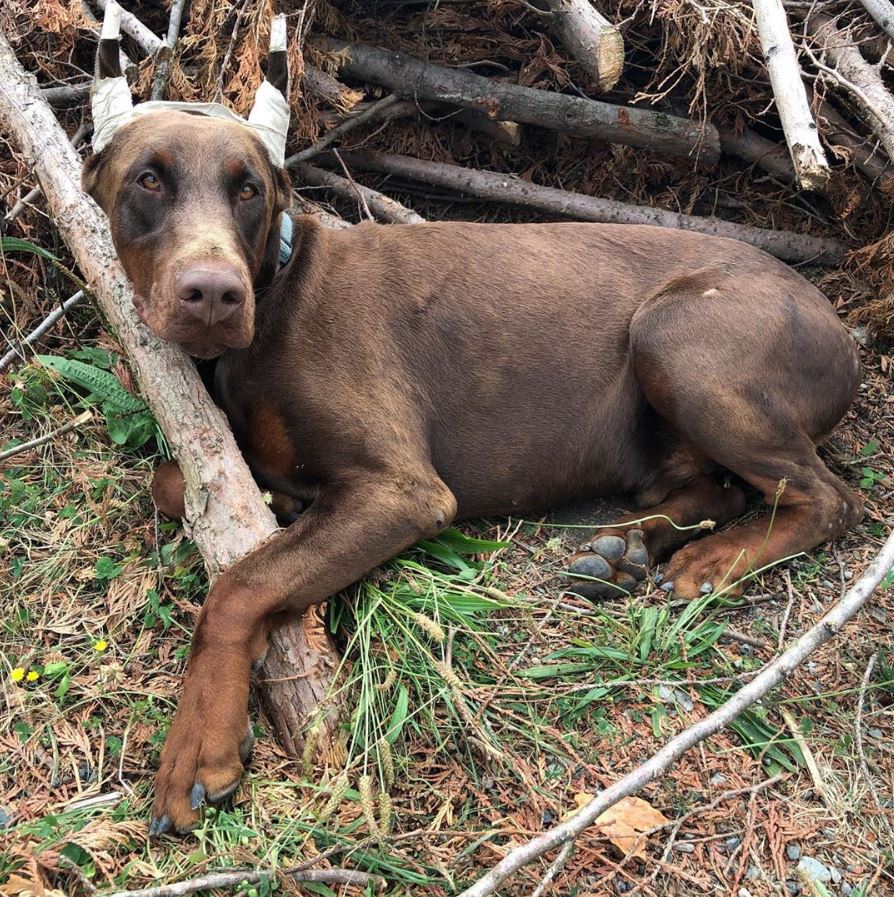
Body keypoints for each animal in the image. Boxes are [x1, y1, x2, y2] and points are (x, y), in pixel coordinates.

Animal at [82, 45, 860, 840]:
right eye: (148, 180)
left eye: (248, 191)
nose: (214, 294)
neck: (273, 294)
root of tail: (839, 322)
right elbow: (174, 481)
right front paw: (281, 501)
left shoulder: (403, 489)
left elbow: (238, 584)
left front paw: (199, 745)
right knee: (720, 488)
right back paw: (628, 548)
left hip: (676, 337)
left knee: (829, 499)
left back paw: (710, 562)